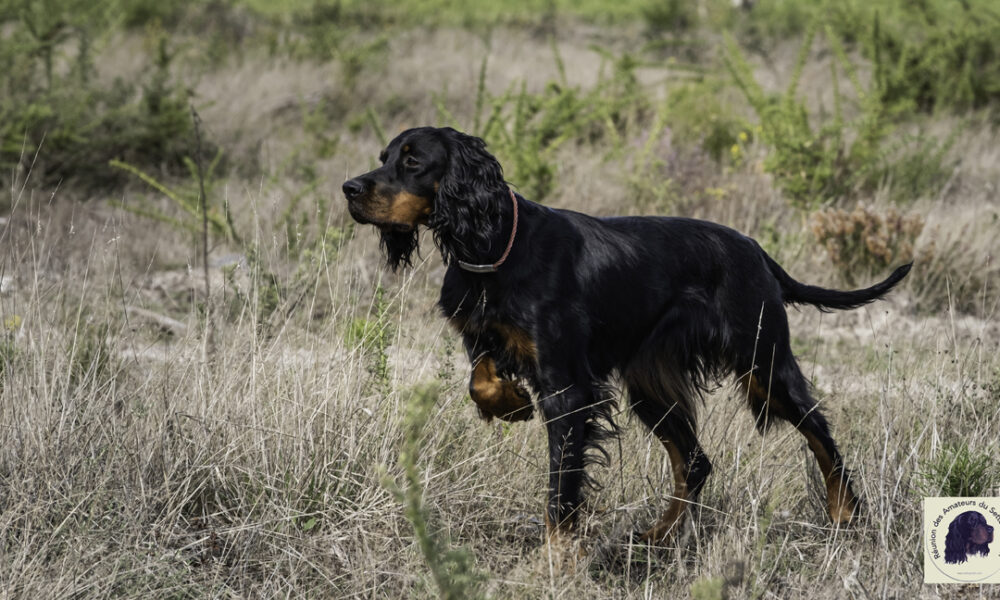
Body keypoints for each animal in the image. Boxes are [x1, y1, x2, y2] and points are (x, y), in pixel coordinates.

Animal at [344, 127, 916, 544]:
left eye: (413, 161)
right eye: (384, 156)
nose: (350, 189)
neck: (492, 247)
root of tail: (755, 250)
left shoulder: (568, 388)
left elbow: (561, 488)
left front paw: (558, 558)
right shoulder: (485, 335)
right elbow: (480, 381)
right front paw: (511, 403)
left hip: (763, 362)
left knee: (821, 434)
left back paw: (845, 515)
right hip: (650, 387)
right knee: (696, 462)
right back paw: (659, 535)